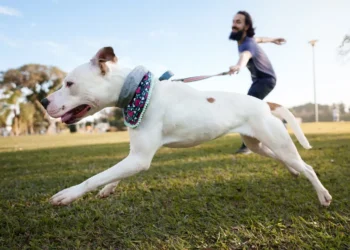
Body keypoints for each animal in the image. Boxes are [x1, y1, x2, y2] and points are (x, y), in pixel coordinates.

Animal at [41, 47, 330, 207]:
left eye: (69, 83)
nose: (43, 101)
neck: (138, 92)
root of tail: (265, 104)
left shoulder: (139, 159)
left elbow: (96, 176)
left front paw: (68, 194)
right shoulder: (135, 156)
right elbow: (112, 174)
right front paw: (108, 189)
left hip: (278, 142)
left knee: (308, 167)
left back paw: (323, 195)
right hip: (259, 144)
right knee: (285, 160)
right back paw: (293, 171)